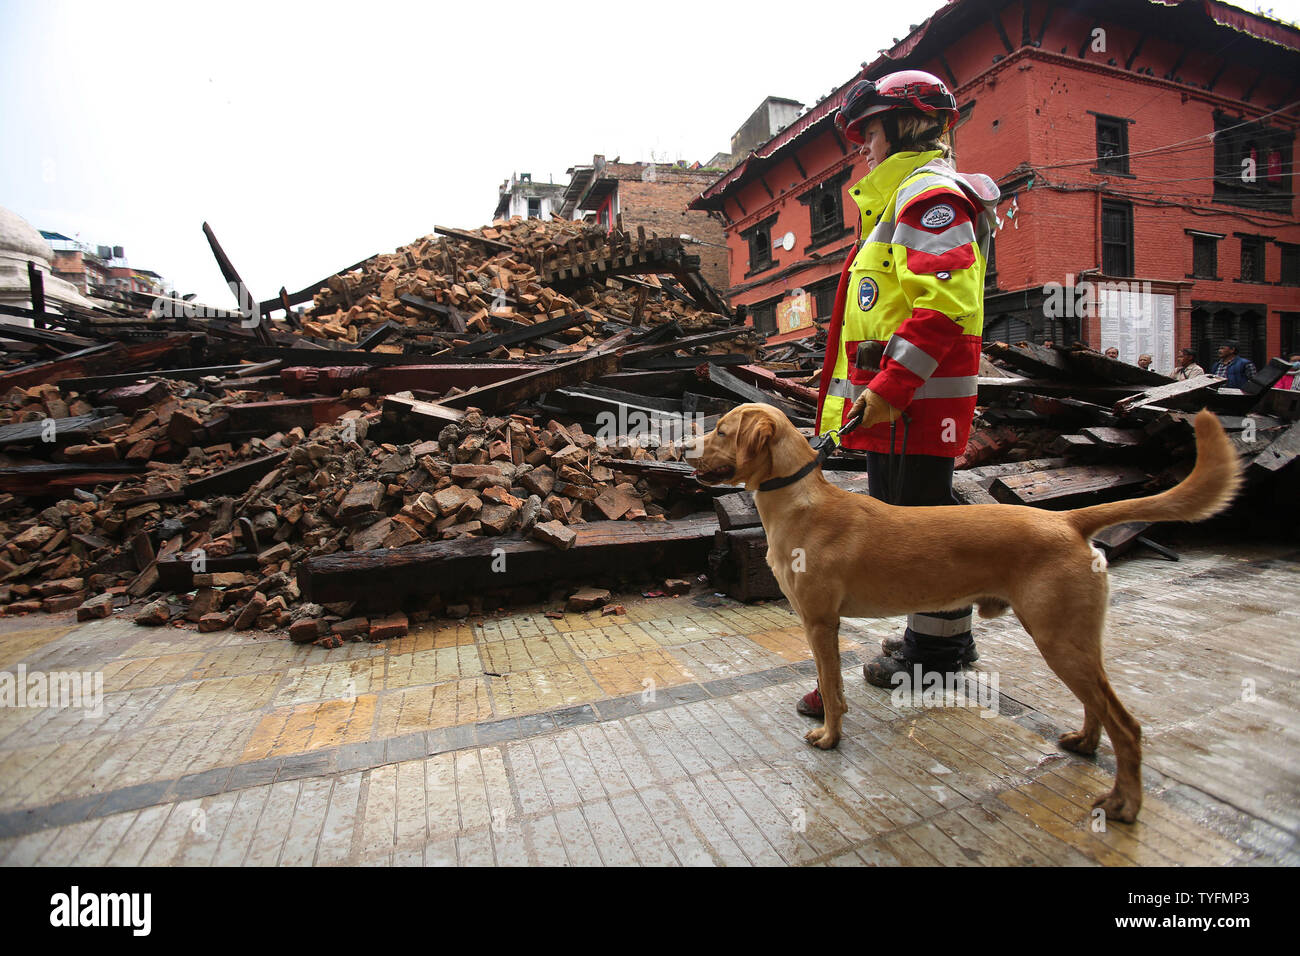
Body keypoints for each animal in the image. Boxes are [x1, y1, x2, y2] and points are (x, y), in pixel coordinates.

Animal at [686, 403, 1242, 822]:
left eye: (721, 430)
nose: (682, 448)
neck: (798, 501)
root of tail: (1067, 520)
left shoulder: (821, 623)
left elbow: (833, 688)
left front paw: (830, 736)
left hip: (1058, 639)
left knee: (1126, 725)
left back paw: (1124, 802)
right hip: (1074, 641)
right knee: (1098, 706)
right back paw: (1085, 743)